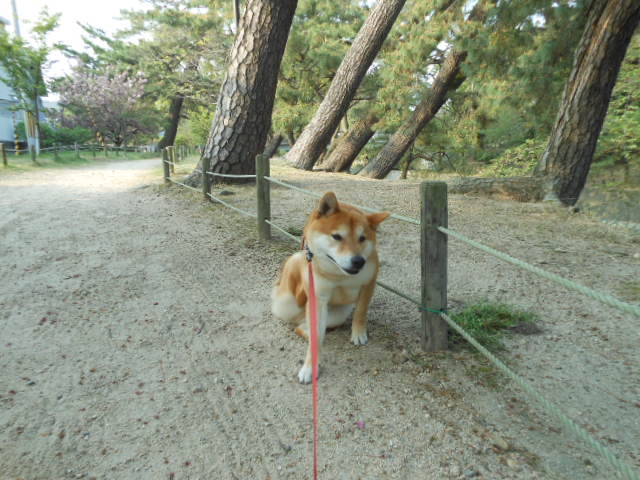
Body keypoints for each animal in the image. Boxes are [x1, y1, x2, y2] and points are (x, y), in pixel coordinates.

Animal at [272, 191, 390, 382]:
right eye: (337, 237)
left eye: (362, 238)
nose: (359, 261)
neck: (339, 274)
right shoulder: (318, 298)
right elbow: (315, 338)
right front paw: (310, 367)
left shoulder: (368, 283)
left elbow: (360, 312)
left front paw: (358, 334)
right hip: (297, 262)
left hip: (337, 316)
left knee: (305, 328)